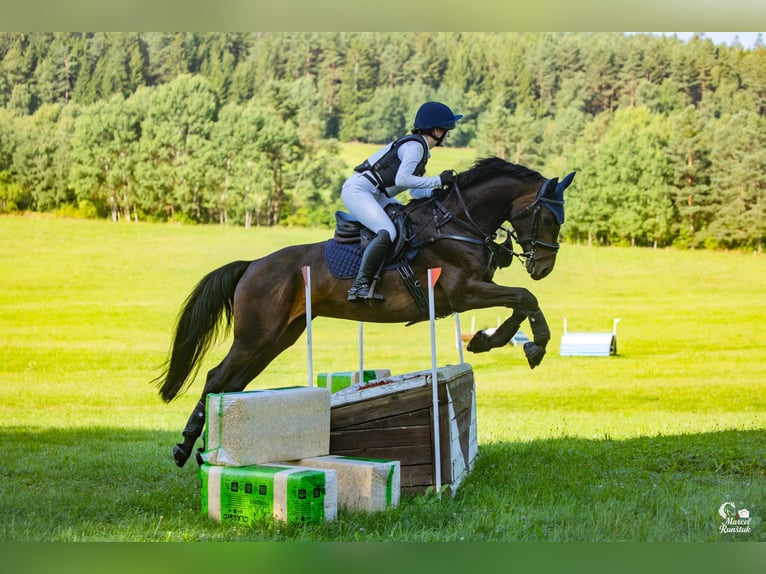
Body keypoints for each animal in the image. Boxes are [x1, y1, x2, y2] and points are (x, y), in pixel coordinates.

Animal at [154, 156, 576, 467]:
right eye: (548, 218)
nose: (543, 268)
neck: (458, 223)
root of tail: (252, 264)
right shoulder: (462, 293)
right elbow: (524, 297)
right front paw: (532, 345)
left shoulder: (473, 292)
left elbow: (519, 303)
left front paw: (492, 341)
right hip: (256, 336)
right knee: (215, 377)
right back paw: (185, 447)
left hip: (278, 338)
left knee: (233, 383)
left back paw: (209, 448)